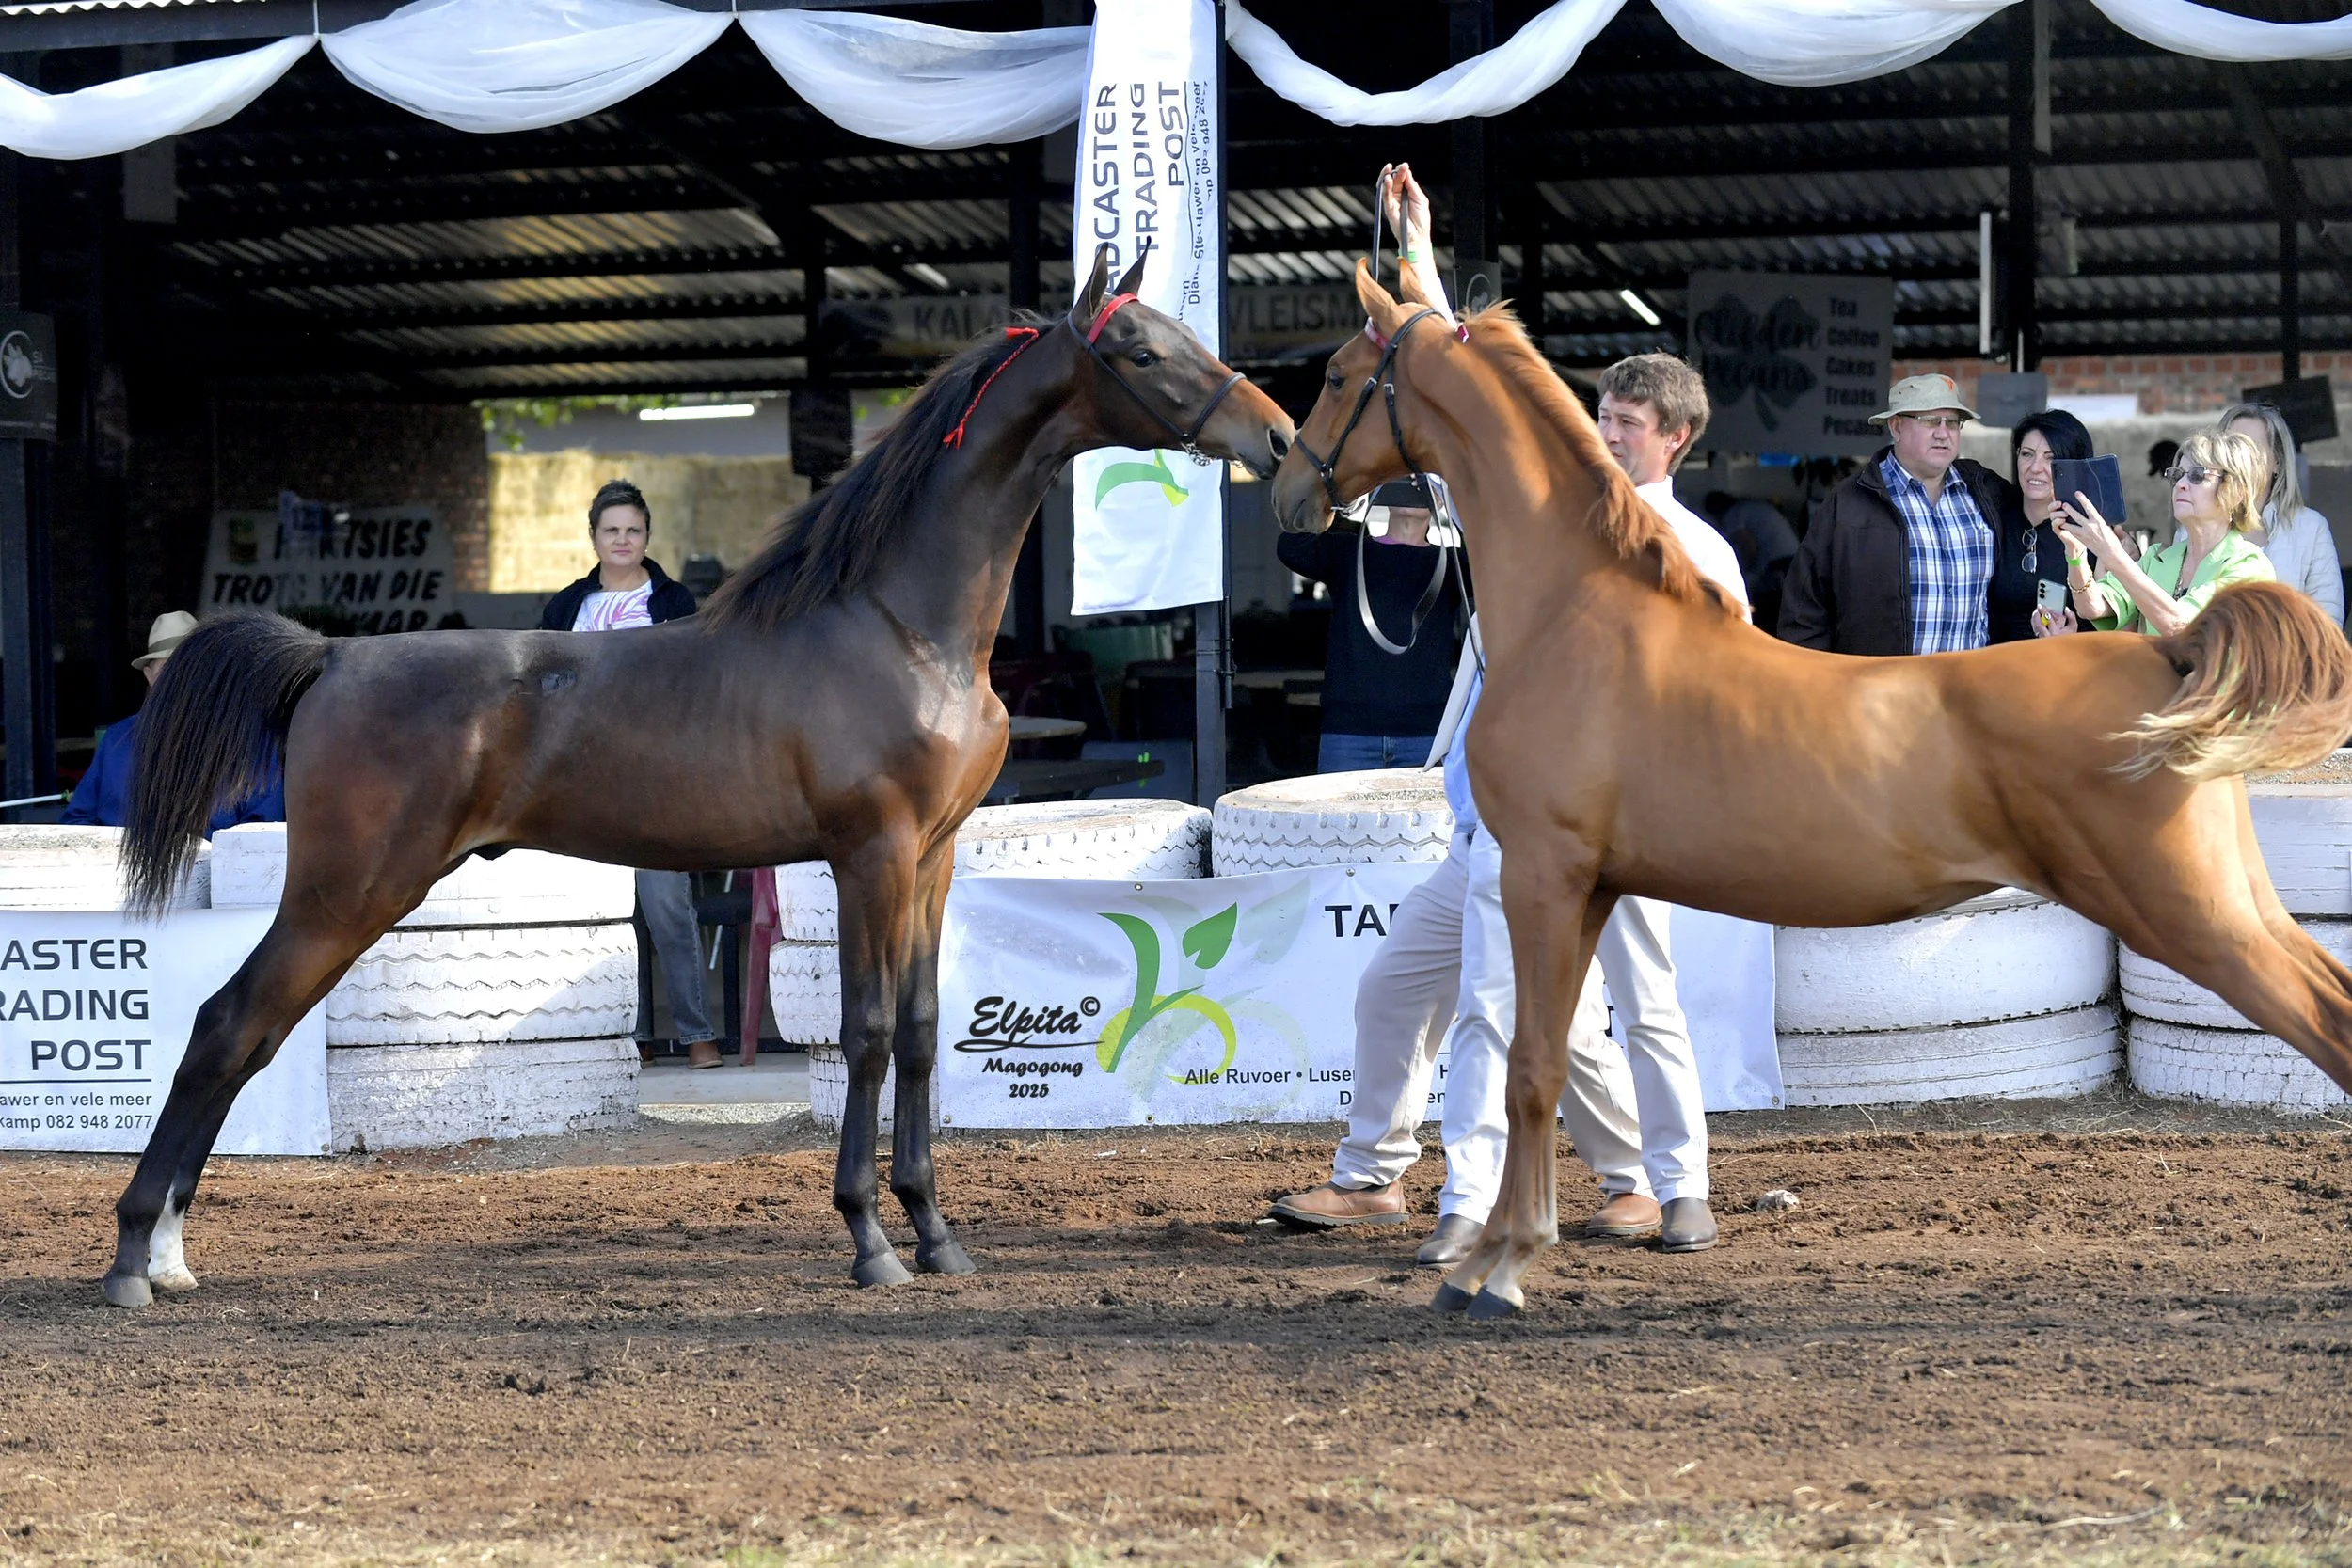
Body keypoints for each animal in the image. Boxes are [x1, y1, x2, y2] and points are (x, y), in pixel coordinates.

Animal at [102, 248, 1295, 1308]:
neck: (901, 626)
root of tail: (332, 654)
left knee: (246, 1037)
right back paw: (130, 1261)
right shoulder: (869, 855)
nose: (1277, 435)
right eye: (1140, 351)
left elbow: (917, 1031)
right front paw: (871, 1242)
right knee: (225, 1025)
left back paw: (169, 1255)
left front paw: (936, 1233)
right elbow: (865, 1034)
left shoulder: (935, 856)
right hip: (344, 894)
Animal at [1268, 258, 2352, 1320]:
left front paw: (1492, 1271)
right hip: (2232, 900)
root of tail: (2171, 644)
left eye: (1335, 376)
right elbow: (1549, 1063)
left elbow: (1528, 1072)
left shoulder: (1540, 873)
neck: (1572, 613)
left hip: (2188, 913)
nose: (1284, 490)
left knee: (2324, 1023)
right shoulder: (1590, 890)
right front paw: (1501, 1249)